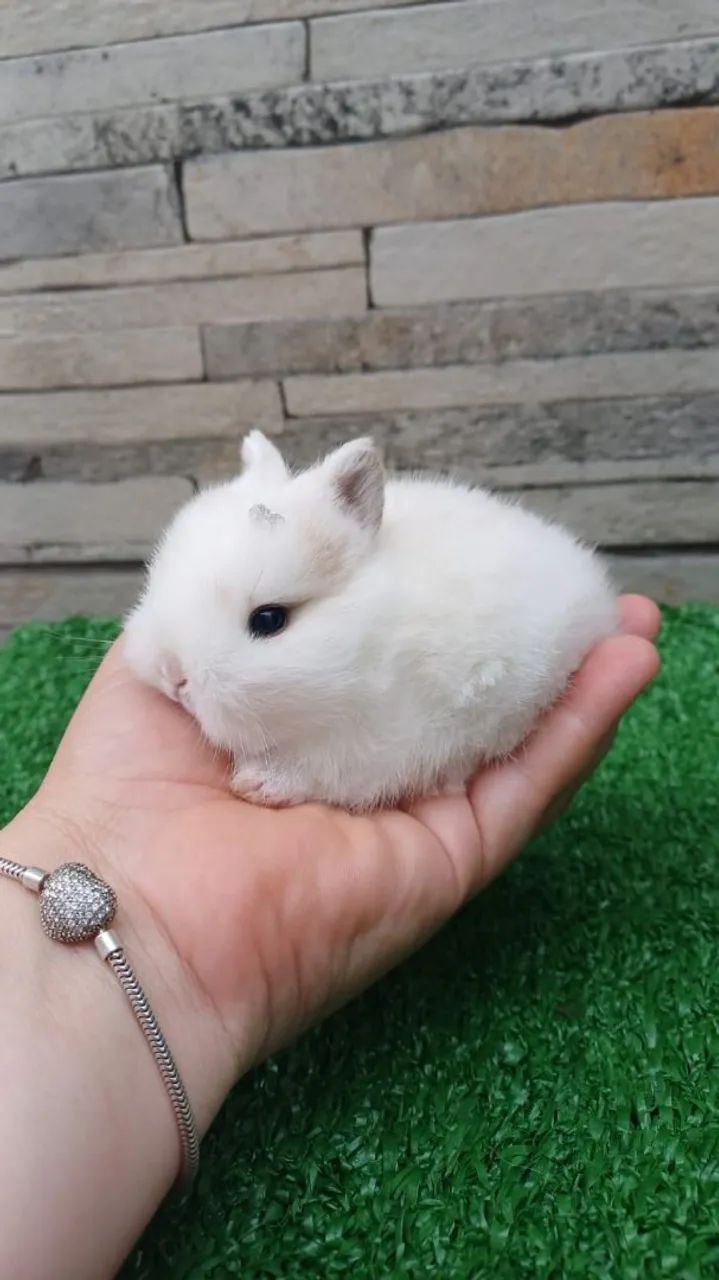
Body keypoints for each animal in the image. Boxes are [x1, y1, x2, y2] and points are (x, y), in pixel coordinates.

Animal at [123, 431, 618, 811]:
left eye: (268, 619)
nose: (173, 676)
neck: (372, 646)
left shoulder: (379, 746)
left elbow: (321, 772)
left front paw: (260, 783)